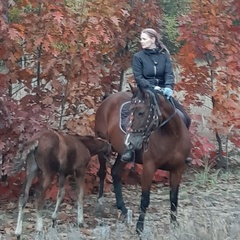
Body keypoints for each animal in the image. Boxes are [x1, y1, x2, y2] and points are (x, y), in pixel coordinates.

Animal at [95, 86, 191, 234]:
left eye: (141, 112)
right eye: (130, 112)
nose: (129, 141)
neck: (172, 136)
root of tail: (108, 99)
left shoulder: (178, 169)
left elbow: (174, 198)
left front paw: (174, 225)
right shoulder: (149, 167)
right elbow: (145, 199)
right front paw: (139, 228)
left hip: (122, 154)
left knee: (116, 172)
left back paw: (123, 210)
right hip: (102, 144)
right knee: (102, 172)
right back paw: (100, 204)